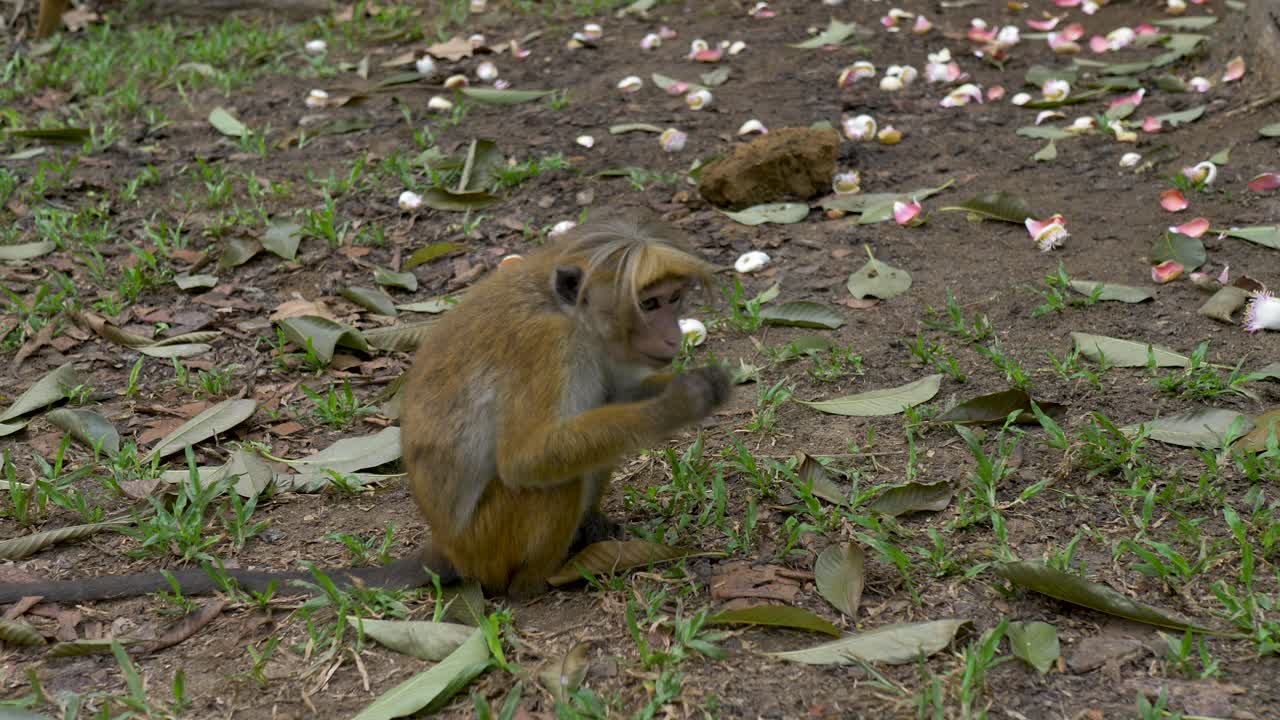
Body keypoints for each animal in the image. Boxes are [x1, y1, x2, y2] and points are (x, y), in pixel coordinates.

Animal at [0, 211, 730, 605]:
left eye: (673, 300)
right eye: (651, 302)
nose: (672, 333)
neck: (572, 315)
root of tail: (450, 548)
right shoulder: (546, 350)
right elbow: (528, 458)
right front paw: (682, 401)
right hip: (489, 540)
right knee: (545, 480)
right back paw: (550, 576)